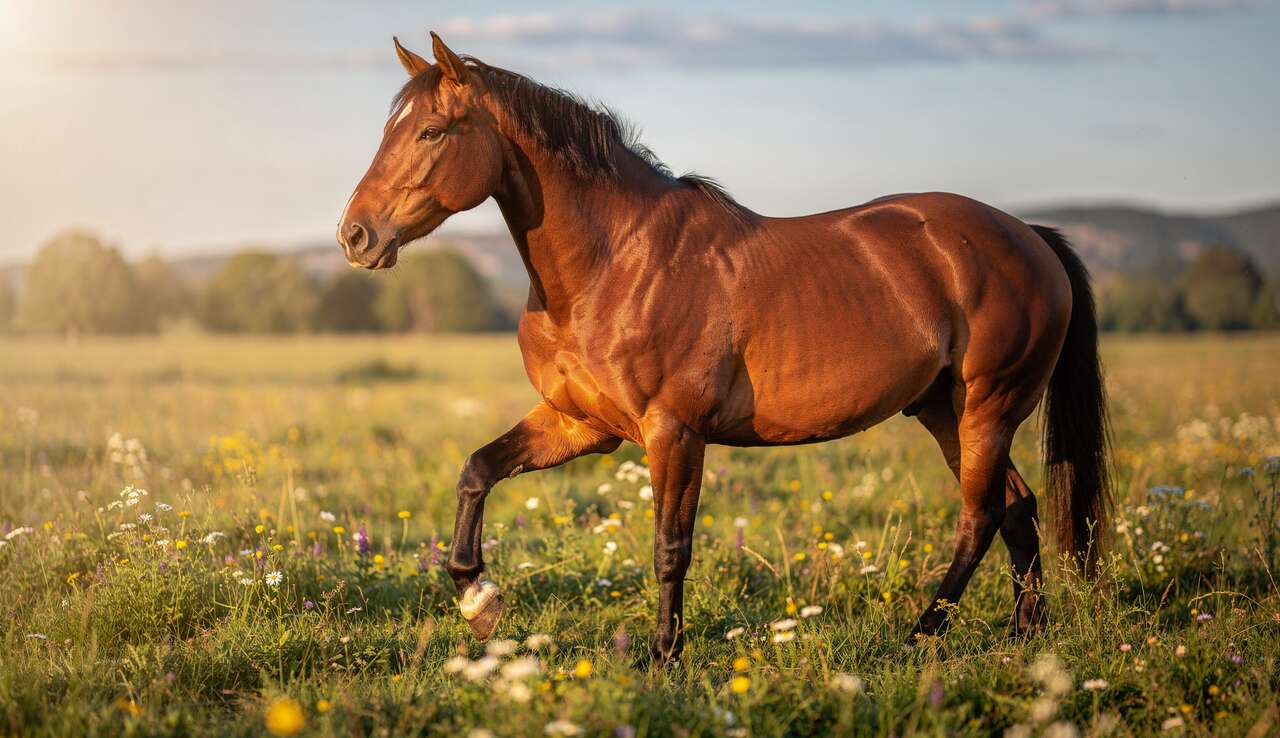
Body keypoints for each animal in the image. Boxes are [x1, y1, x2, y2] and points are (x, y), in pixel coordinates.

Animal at [337, 33, 1111, 663]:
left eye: (431, 131)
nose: (355, 236)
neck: (614, 263)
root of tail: (1030, 236)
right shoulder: (581, 425)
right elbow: (477, 470)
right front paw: (477, 599)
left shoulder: (674, 433)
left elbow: (669, 547)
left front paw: (663, 655)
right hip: (944, 411)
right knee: (1017, 509)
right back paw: (1024, 635)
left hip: (988, 408)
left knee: (981, 518)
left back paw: (920, 637)